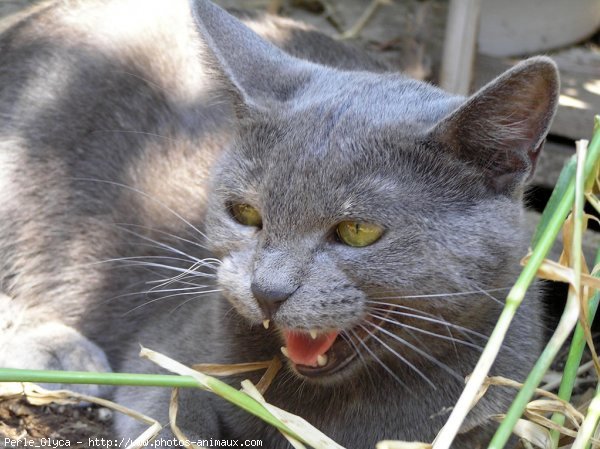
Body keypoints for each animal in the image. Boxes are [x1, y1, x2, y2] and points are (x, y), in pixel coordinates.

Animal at [1, 0, 564, 444]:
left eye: (358, 231)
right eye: (245, 214)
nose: (267, 291)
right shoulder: (163, 354)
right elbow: (172, 419)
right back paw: (62, 354)